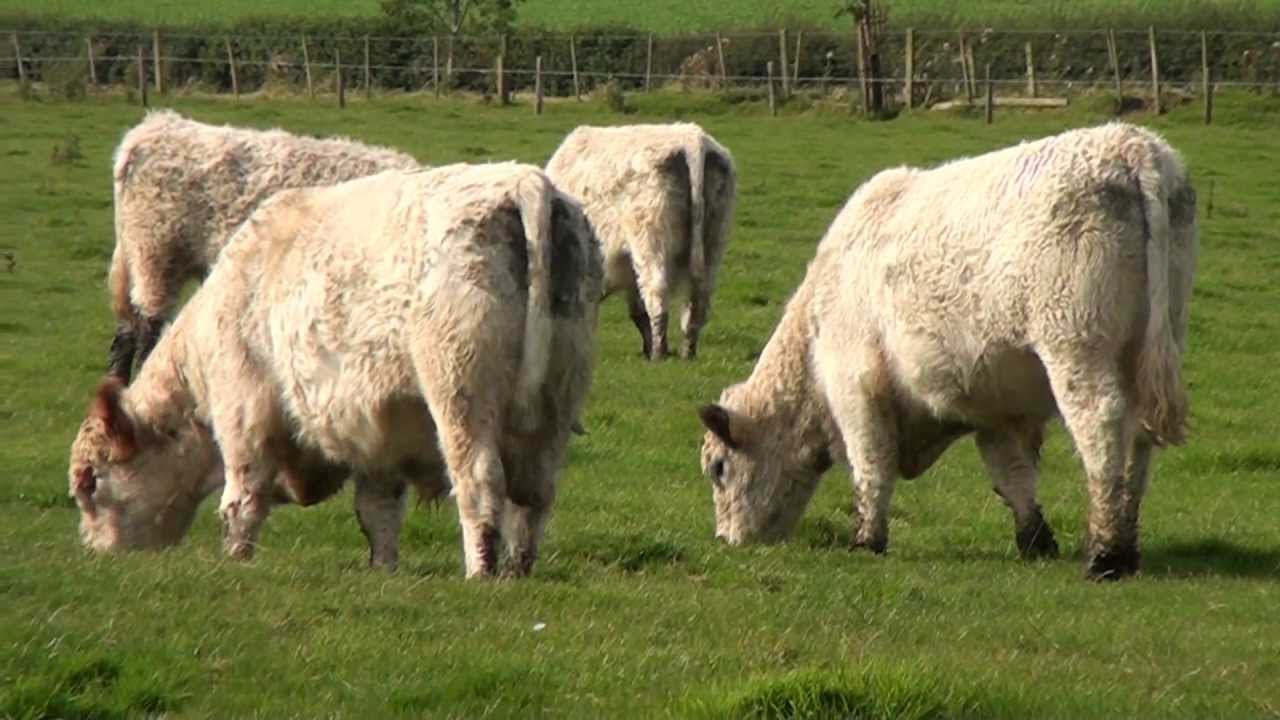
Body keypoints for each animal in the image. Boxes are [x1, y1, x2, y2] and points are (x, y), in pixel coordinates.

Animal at [69, 162, 603, 578]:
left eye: (90, 482)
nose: (94, 554)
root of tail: (523, 182)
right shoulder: (379, 439)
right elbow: (378, 514)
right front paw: (383, 570)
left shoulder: (244, 415)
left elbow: (241, 502)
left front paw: (235, 561)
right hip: (554, 407)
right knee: (534, 498)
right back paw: (517, 569)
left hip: (460, 399)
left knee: (480, 485)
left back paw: (482, 571)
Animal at [546, 123, 736, 360]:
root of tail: (693, 139)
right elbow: (637, 310)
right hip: (713, 243)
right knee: (697, 302)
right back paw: (686, 352)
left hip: (650, 241)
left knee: (657, 295)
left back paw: (659, 353)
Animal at [696, 123, 1198, 581]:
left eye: (719, 468)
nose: (727, 540)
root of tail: (1132, 144)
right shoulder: (999, 411)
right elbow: (1012, 475)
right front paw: (1034, 540)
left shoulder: (856, 388)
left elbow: (871, 464)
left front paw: (867, 540)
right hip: (1149, 349)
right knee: (1137, 441)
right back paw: (1125, 547)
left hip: (1076, 350)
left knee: (1103, 430)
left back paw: (1105, 555)